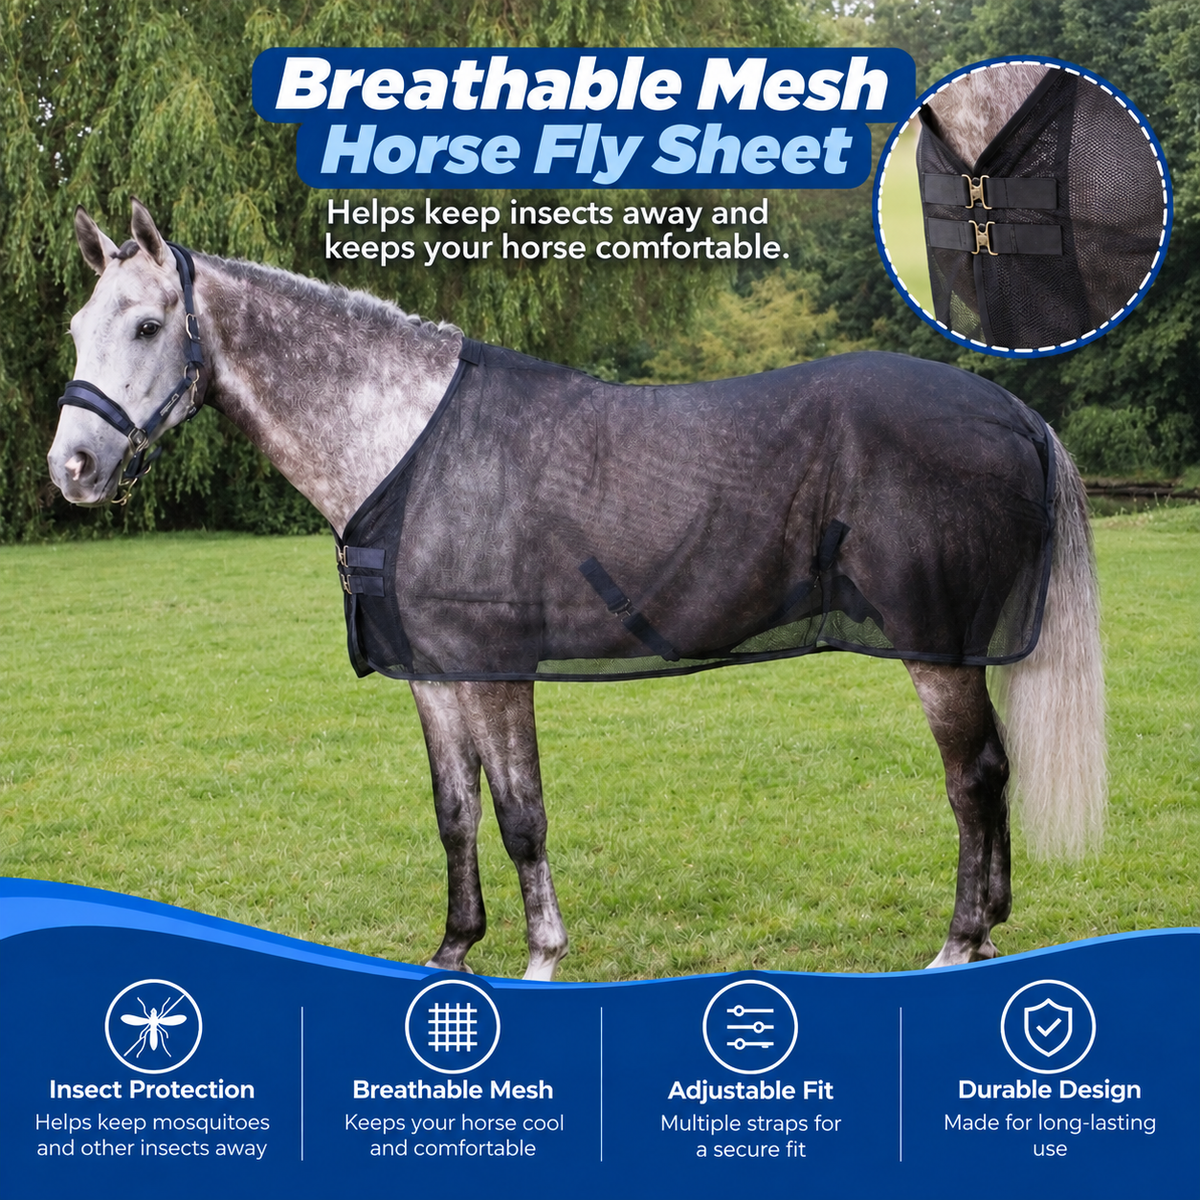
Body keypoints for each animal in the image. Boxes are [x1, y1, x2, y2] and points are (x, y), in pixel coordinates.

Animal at [47, 199, 1106, 981]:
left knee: (974, 781)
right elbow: (456, 814)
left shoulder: (495, 671)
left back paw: (959, 941)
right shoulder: (434, 678)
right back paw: (989, 932)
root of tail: (1013, 412)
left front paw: (541, 958)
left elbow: (522, 816)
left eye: (148, 325)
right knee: (993, 777)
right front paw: (453, 952)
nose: (73, 467)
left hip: (937, 648)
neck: (408, 444)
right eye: (76, 328)